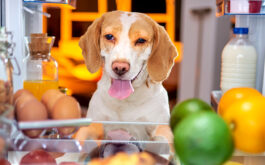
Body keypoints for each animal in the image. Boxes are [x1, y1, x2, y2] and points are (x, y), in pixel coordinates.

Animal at [78, 10, 177, 142]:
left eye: (141, 40)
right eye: (109, 36)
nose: (120, 68)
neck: (125, 102)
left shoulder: (161, 128)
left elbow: (162, 139)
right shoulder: (94, 126)